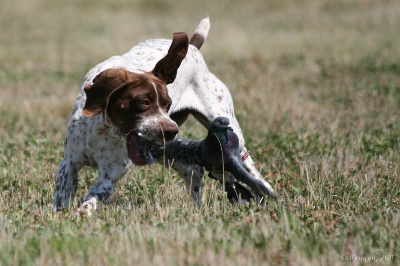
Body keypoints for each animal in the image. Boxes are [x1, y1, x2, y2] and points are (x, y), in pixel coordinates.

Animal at [52, 17, 276, 215]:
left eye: (167, 104)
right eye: (143, 102)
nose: (170, 131)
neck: (106, 129)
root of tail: (193, 47)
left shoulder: (108, 177)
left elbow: (89, 203)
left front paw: (80, 215)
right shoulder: (69, 164)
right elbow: (62, 198)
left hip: (228, 127)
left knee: (247, 164)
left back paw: (266, 193)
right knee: (194, 173)